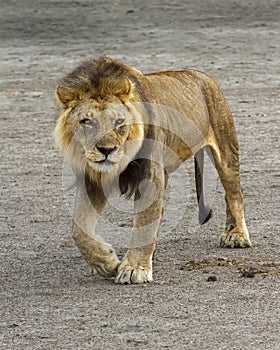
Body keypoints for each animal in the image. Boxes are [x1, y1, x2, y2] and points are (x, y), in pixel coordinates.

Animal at [53, 56, 250, 284]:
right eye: (87, 121)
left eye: (119, 122)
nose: (107, 150)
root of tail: (201, 75)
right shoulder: (92, 180)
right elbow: (79, 231)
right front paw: (106, 264)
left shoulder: (149, 175)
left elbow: (144, 222)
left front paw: (134, 268)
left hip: (226, 149)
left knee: (234, 194)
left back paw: (236, 235)